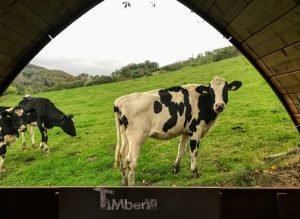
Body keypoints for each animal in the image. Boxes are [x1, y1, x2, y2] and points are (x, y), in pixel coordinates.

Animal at [113, 76, 243, 186]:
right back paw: (131, 183)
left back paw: (124, 182)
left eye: (225, 89)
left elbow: (181, 150)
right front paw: (194, 172)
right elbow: (194, 152)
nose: (219, 105)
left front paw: (175, 169)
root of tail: (120, 101)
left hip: (125, 137)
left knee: (122, 157)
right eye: (211, 91)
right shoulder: (196, 130)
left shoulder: (186, 131)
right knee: (131, 161)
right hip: (137, 138)